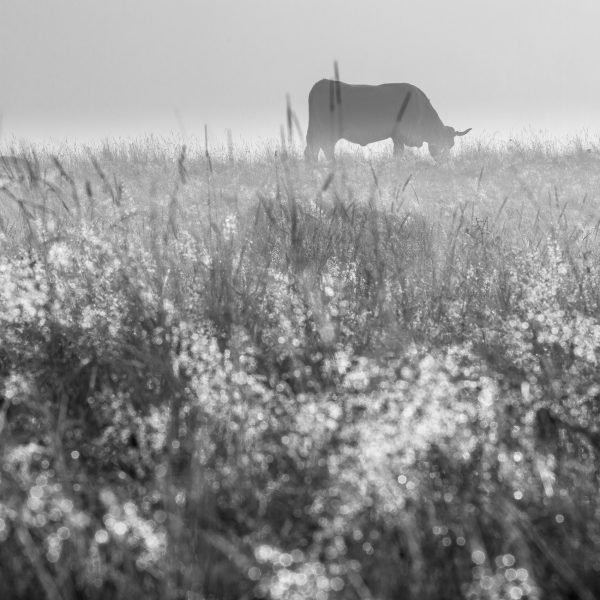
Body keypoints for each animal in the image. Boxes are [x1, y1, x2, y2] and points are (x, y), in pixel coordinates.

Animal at [304, 79, 474, 162]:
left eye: (451, 145)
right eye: (442, 144)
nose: (446, 162)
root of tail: (321, 83)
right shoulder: (399, 136)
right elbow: (397, 155)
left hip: (316, 131)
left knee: (312, 150)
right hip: (326, 131)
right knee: (324, 148)